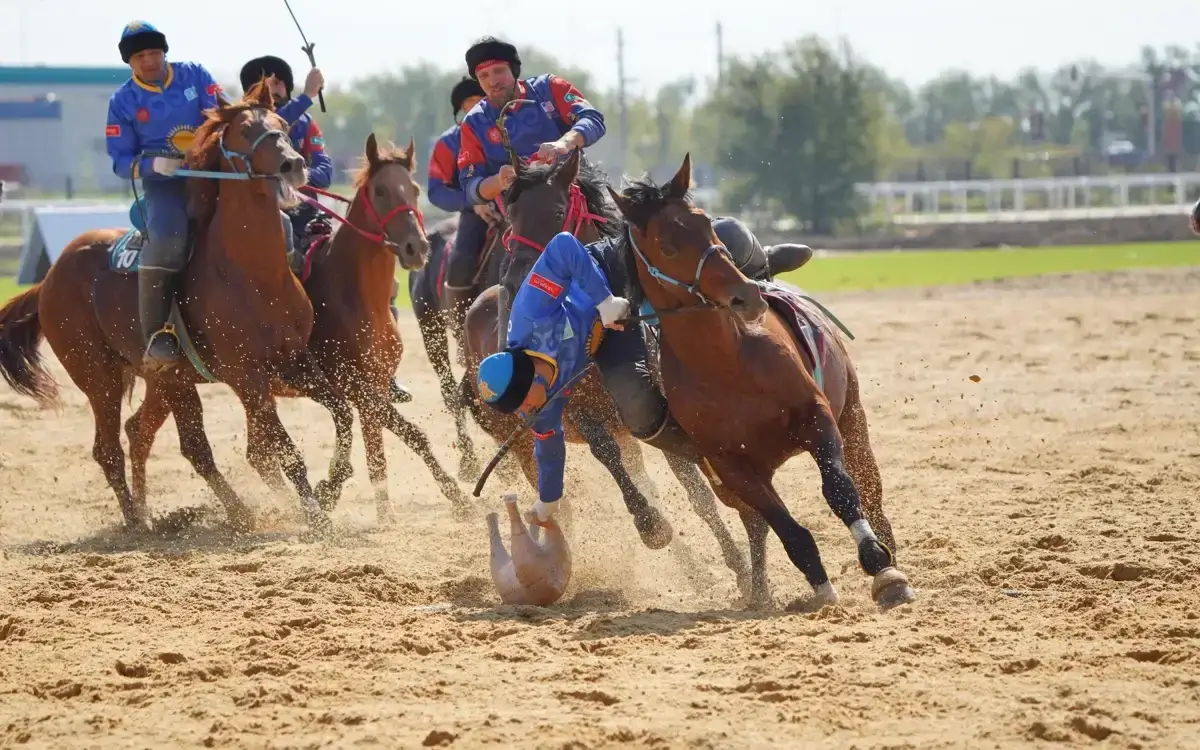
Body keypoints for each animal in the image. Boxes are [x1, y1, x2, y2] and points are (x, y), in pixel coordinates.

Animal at [0, 84, 355, 535]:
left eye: (283, 125)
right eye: (244, 130)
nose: (293, 164)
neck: (252, 273)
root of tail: (49, 279)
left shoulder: (295, 362)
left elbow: (342, 414)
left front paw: (330, 488)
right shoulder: (248, 378)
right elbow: (285, 450)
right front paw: (315, 516)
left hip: (171, 381)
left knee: (173, 442)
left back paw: (202, 513)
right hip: (98, 377)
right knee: (111, 449)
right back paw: (141, 520)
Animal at [604, 150, 912, 609]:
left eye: (706, 223)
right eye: (667, 245)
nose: (746, 295)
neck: (729, 365)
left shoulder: (817, 417)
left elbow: (840, 490)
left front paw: (881, 566)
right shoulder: (731, 467)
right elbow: (788, 530)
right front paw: (820, 588)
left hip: (853, 417)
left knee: (870, 492)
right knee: (756, 525)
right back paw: (759, 590)